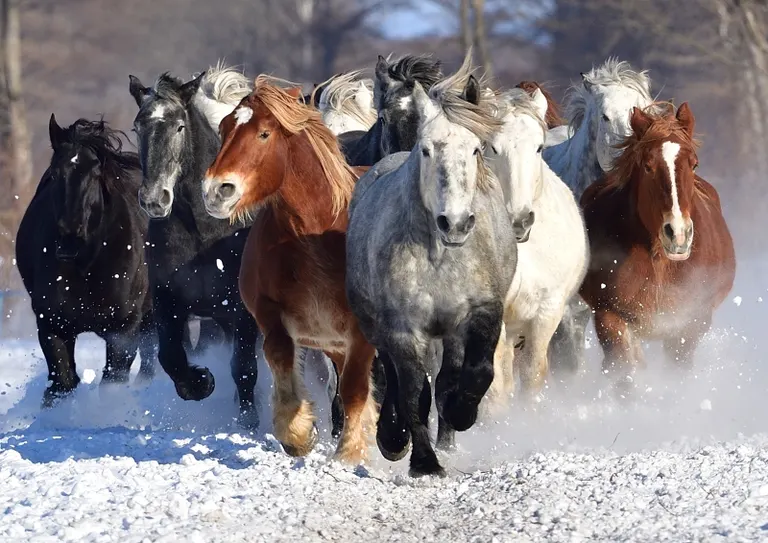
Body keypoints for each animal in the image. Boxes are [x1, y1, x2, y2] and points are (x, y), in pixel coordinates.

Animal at [16, 116, 157, 408]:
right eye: (55, 173)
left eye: (95, 174)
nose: (70, 240)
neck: (87, 266)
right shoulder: (53, 327)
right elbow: (62, 383)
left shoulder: (123, 330)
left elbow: (112, 382)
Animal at [201, 75, 376, 468]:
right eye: (223, 128)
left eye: (264, 133)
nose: (216, 191)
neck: (315, 236)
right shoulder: (271, 317)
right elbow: (281, 360)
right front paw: (297, 434)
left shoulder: (361, 332)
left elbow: (355, 389)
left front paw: (349, 453)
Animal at [346, 55, 516, 478]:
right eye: (426, 151)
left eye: (476, 150)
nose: (453, 222)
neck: (441, 257)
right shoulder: (403, 328)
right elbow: (412, 392)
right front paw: (421, 460)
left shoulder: (483, 312)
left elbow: (476, 373)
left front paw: (460, 415)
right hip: (378, 326)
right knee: (392, 377)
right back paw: (394, 438)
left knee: (447, 377)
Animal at [580, 103, 736, 392]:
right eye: (648, 166)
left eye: (694, 163)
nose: (678, 234)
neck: (661, 263)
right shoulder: (610, 317)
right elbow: (622, 375)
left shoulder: (690, 323)